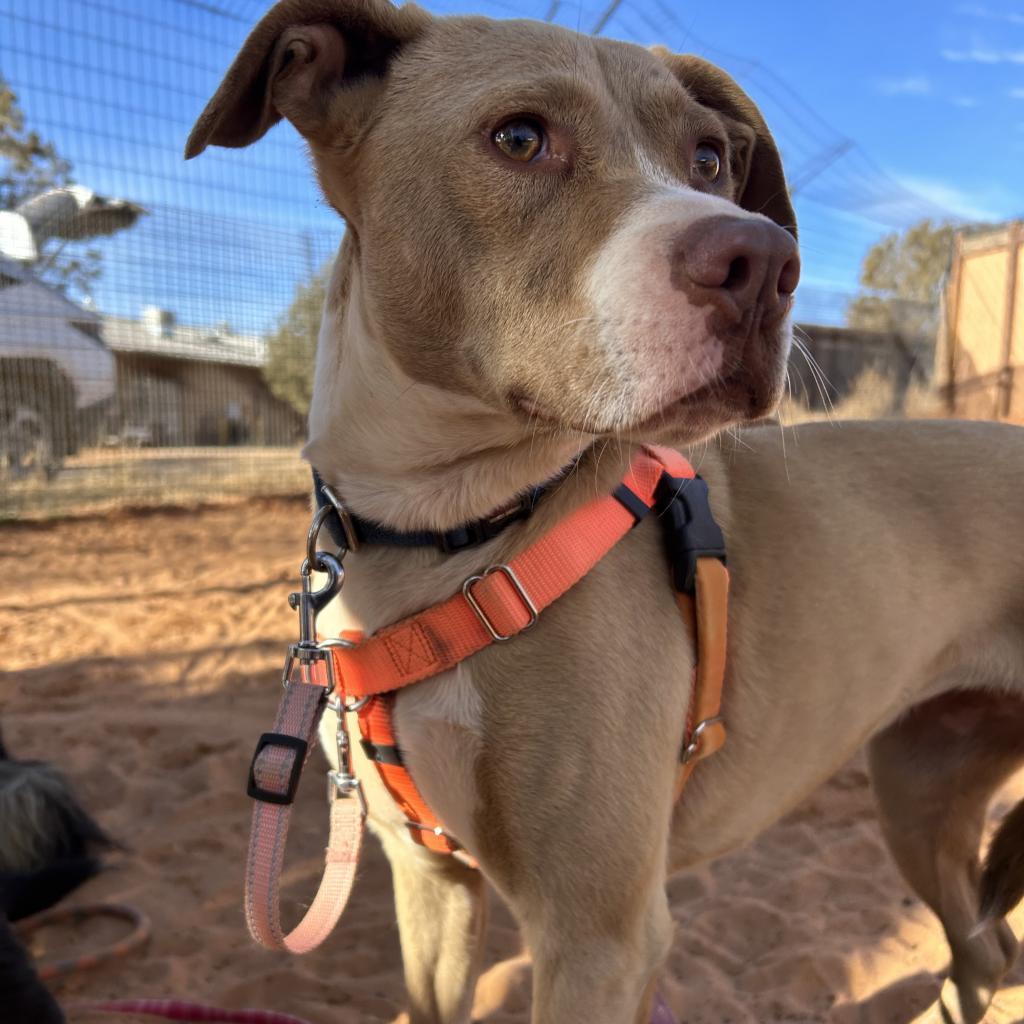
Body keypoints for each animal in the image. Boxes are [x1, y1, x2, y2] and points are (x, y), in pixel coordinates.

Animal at [186, 4, 1024, 1019]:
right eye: (519, 138)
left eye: (709, 157)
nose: (765, 262)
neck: (443, 533)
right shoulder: (432, 886)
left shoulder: (599, 936)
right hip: (918, 783)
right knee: (985, 949)